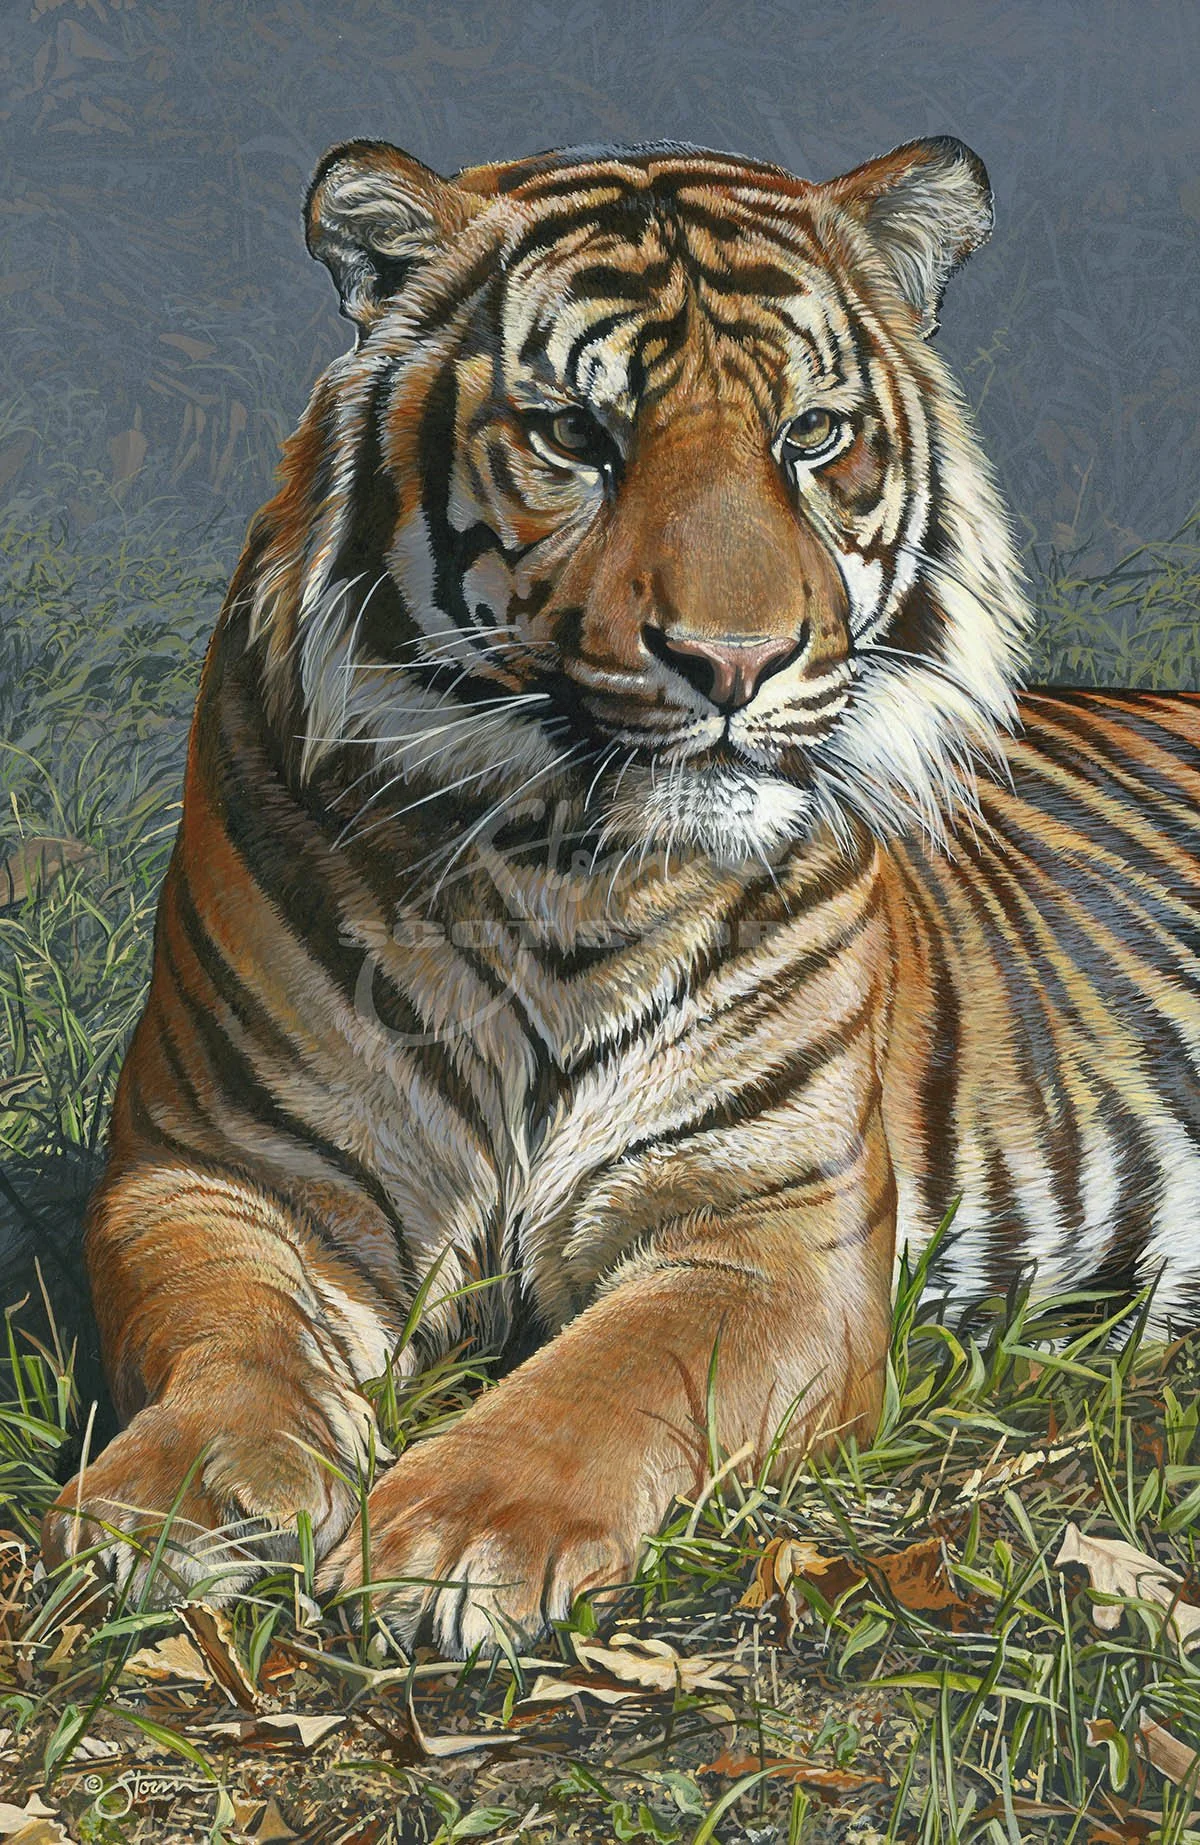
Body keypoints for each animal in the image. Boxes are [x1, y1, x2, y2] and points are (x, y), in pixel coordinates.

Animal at [42, 133, 1200, 1658]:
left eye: (811, 437)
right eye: (576, 438)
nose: (735, 662)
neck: (559, 874)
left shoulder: (769, 1227)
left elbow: (623, 1371)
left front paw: (461, 1534)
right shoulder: (224, 1168)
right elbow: (228, 1338)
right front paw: (173, 1506)